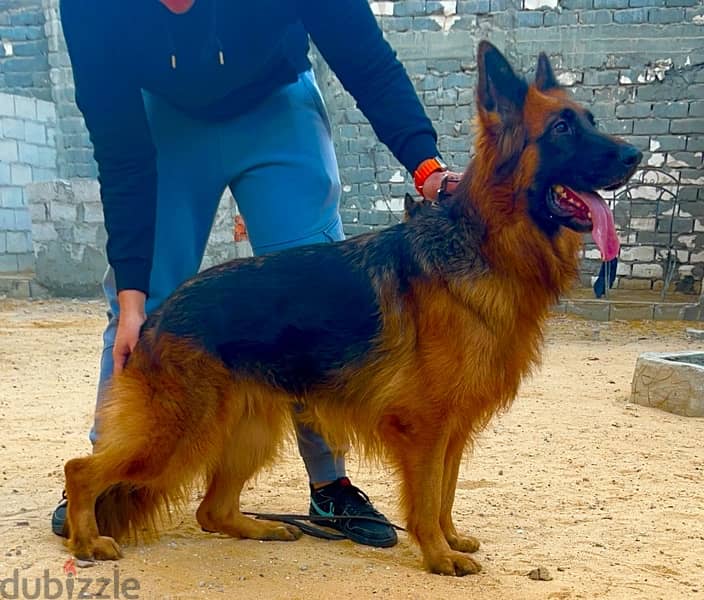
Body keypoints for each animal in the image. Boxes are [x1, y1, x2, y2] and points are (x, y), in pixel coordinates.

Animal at [63, 39, 640, 576]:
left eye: (590, 121)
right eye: (562, 129)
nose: (634, 156)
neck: (486, 242)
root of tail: (155, 317)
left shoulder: (453, 431)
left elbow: (447, 493)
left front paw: (451, 539)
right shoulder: (425, 429)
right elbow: (427, 500)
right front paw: (437, 554)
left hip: (248, 431)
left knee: (212, 510)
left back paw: (261, 528)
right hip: (179, 435)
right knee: (81, 469)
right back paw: (87, 540)